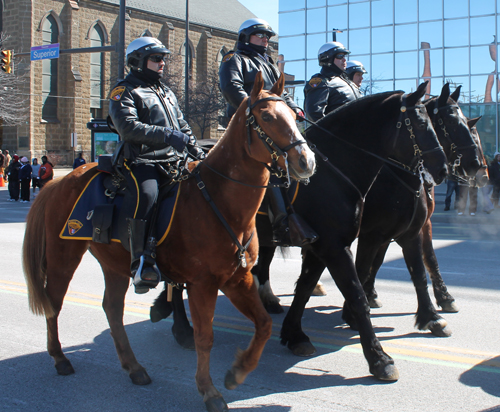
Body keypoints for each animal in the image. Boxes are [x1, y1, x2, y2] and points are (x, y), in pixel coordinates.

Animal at [22, 71, 316, 412]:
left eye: (294, 116)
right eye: (266, 116)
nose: (306, 161)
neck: (218, 199)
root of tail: (59, 180)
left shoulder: (237, 279)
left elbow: (264, 325)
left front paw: (238, 372)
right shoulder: (203, 284)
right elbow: (205, 337)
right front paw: (209, 390)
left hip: (114, 263)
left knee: (112, 309)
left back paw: (133, 367)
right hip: (63, 256)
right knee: (54, 302)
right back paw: (59, 358)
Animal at [150, 82, 448, 382]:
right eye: (421, 123)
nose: (443, 169)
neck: (335, 172)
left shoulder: (326, 246)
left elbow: (305, 288)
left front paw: (294, 334)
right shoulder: (338, 247)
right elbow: (357, 294)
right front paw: (379, 357)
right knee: (176, 281)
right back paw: (183, 329)